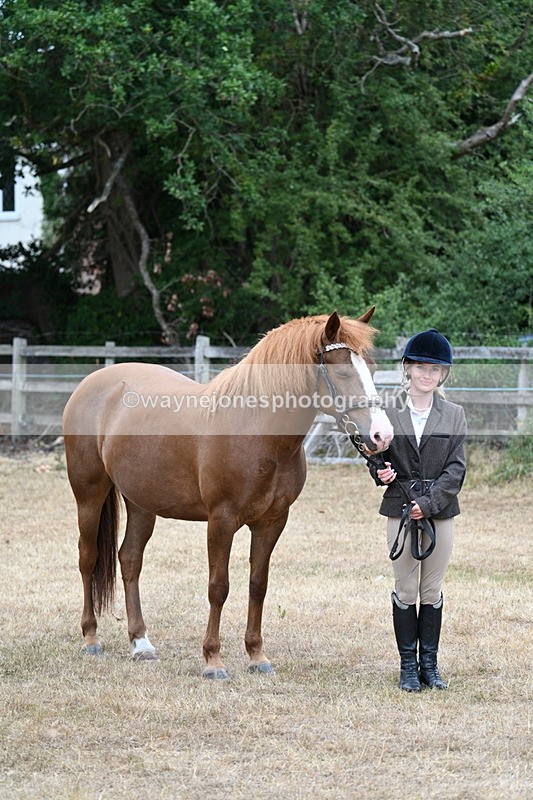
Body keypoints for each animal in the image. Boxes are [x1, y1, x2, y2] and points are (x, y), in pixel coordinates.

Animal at [62, 308, 394, 679]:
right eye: (342, 370)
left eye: (372, 368)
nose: (382, 436)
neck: (254, 428)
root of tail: (94, 382)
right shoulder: (221, 520)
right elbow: (218, 587)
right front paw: (213, 660)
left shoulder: (272, 522)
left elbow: (258, 585)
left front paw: (257, 656)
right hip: (89, 494)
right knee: (88, 557)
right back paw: (91, 637)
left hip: (141, 503)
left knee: (130, 560)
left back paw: (141, 644)